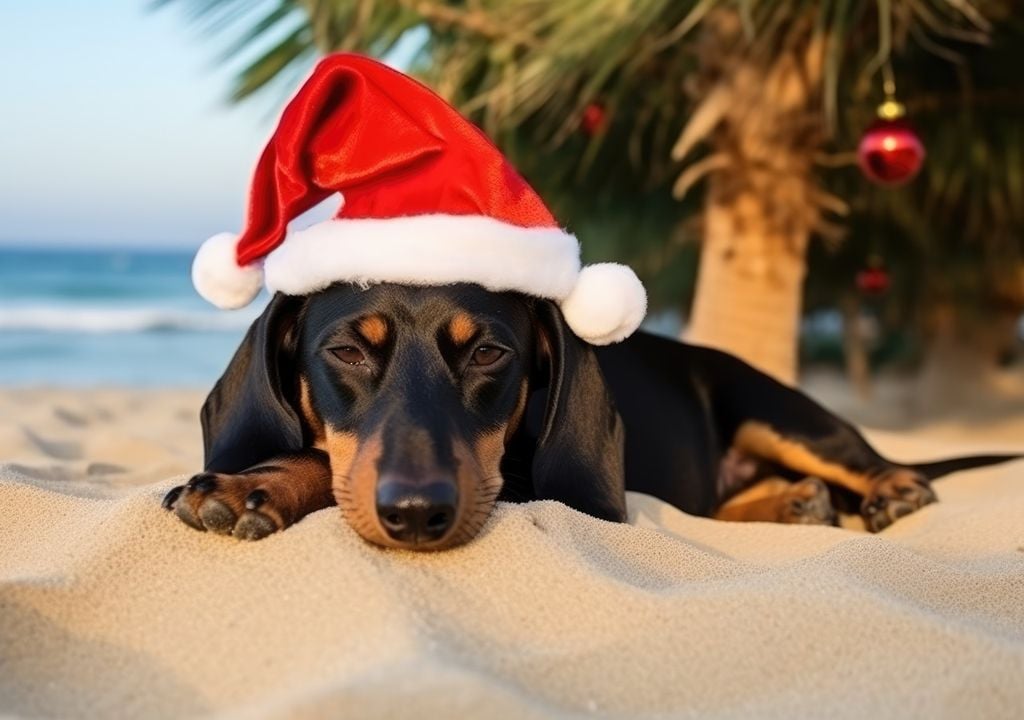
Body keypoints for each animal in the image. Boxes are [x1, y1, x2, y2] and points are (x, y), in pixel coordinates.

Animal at [161, 284, 1015, 548]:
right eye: (345, 351)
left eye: (488, 353)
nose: (416, 515)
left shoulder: (515, 477)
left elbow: (319, 457)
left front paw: (245, 486)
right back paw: (793, 504)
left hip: (776, 410)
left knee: (862, 458)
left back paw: (889, 489)